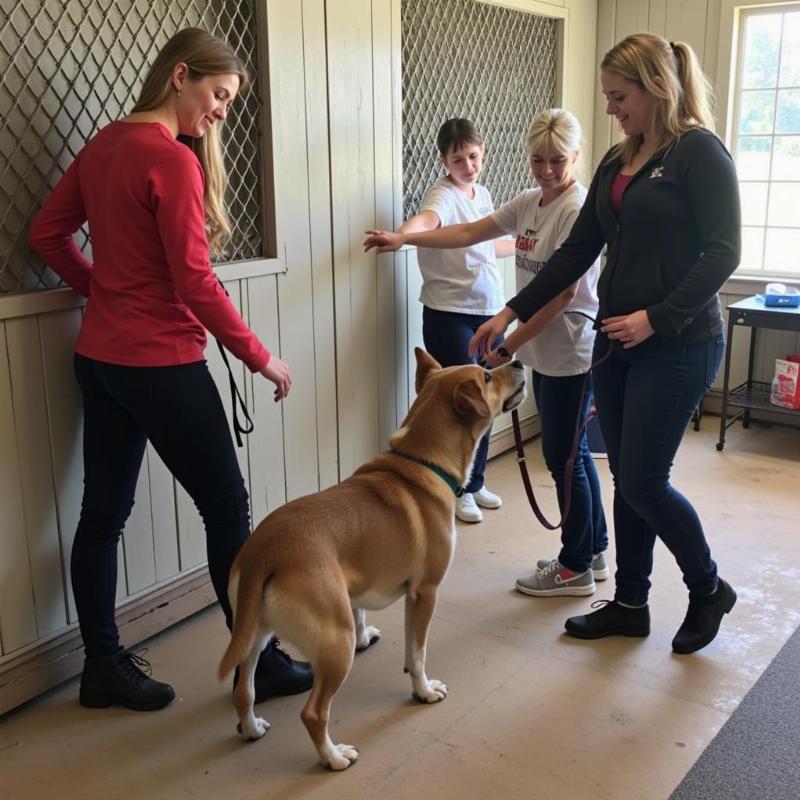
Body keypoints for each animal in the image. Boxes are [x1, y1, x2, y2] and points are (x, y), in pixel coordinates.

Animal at [217, 348, 524, 768]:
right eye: (487, 377)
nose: (519, 362)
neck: (422, 461)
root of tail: (263, 551)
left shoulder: (359, 586)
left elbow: (366, 615)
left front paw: (371, 641)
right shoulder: (424, 593)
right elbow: (418, 651)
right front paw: (423, 690)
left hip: (256, 635)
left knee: (243, 690)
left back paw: (250, 728)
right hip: (334, 642)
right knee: (313, 713)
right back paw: (334, 757)